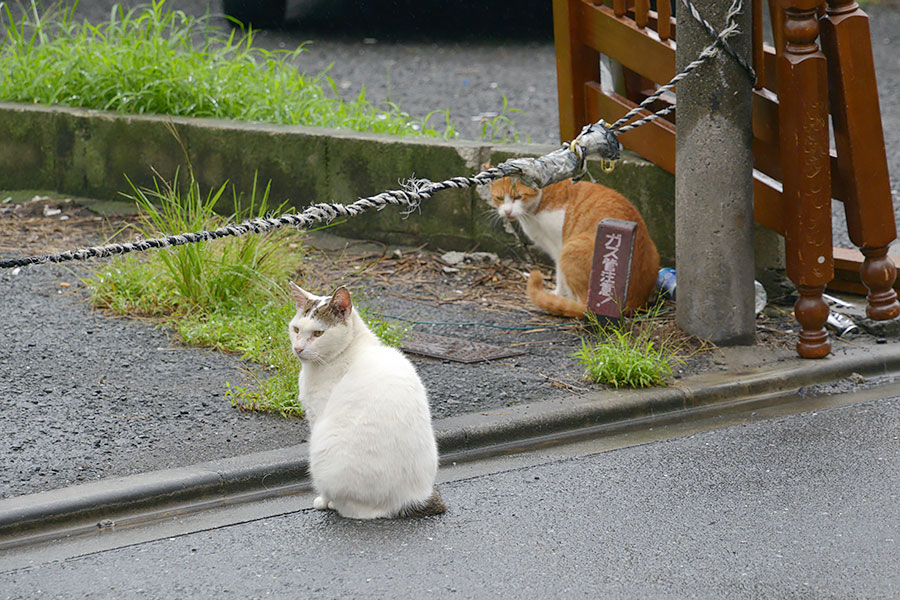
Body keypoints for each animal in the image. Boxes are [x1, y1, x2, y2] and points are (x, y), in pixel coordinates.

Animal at [290, 282, 444, 520]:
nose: (298, 348)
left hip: (322, 445)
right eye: (296, 329)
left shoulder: (317, 413)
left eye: (318, 333)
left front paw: (322, 502)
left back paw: (331, 503)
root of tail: (409, 499)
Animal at [492, 173, 660, 318]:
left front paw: (557, 294)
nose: (507, 211)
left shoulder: (558, 248)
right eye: (499, 198)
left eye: (518, 197)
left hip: (571, 249)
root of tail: (632, 303)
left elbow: (559, 277)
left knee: (581, 303)